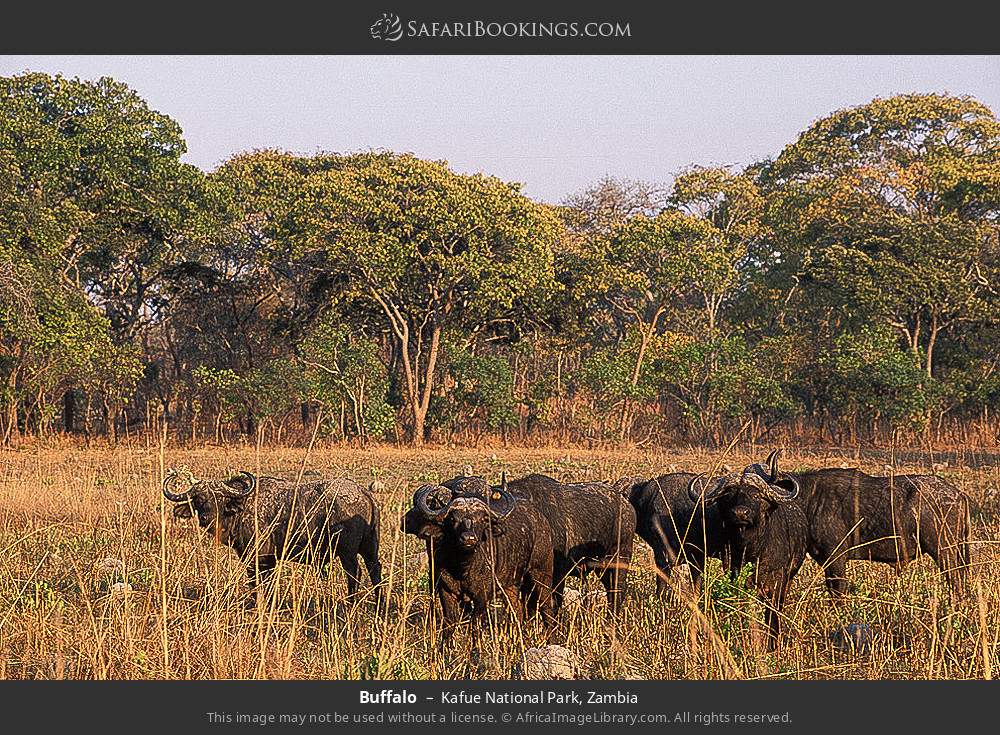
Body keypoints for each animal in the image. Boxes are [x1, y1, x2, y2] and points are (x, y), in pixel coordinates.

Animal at [162, 467, 382, 605]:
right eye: (198, 499)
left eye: (219, 497)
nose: (205, 517)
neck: (242, 508)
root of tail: (363, 492)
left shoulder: (257, 558)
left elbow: (258, 582)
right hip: (370, 548)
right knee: (375, 570)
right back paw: (379, 604)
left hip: (347, 552)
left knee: (354, 574)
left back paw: (351, 604)